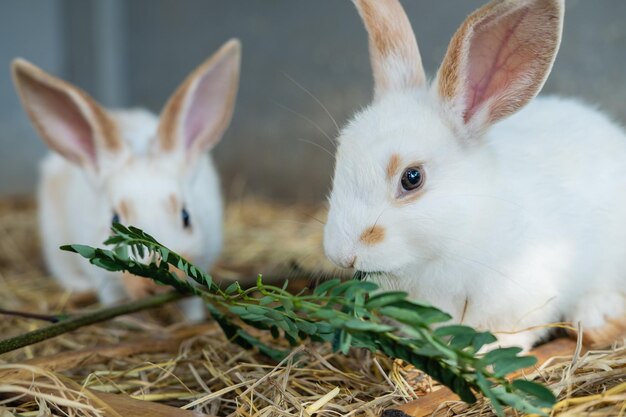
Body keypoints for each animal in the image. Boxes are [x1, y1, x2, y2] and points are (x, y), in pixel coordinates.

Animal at [12, 39, 241, 318]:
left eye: (186, 217)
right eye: (114, 222)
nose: (156, 284)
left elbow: (192, 305)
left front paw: (192, 321)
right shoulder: (106, 283)